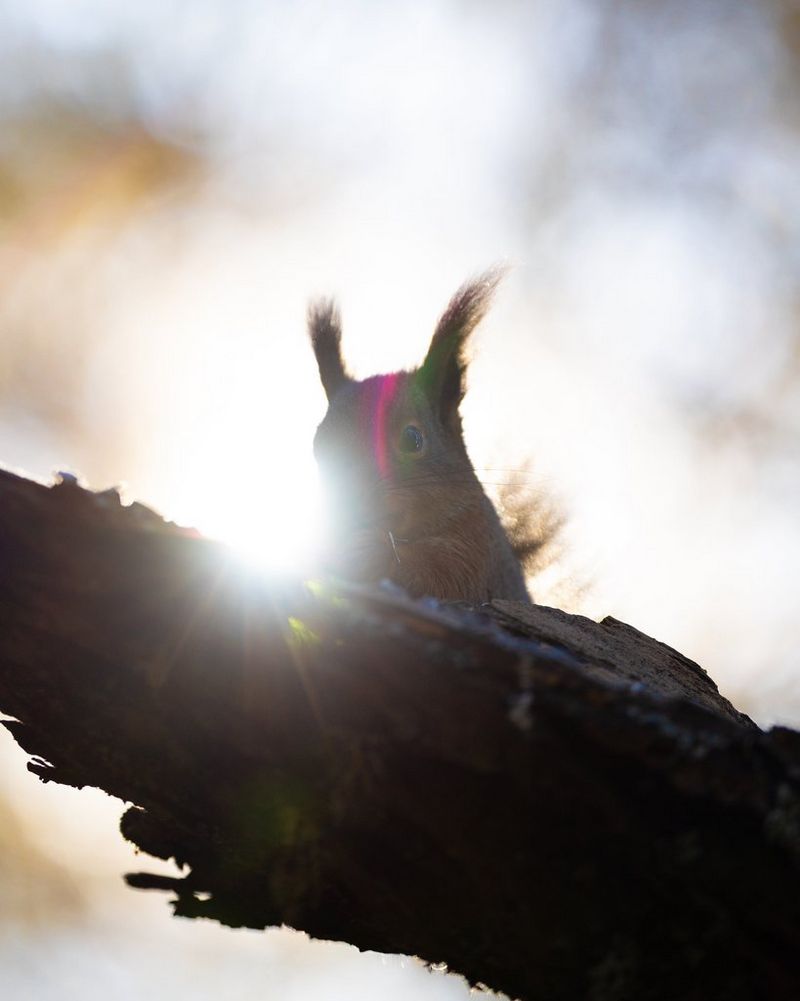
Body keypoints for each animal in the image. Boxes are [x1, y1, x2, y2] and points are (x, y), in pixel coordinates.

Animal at [308, 270, 531, 604]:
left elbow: (437, 574)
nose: (346, 502)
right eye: (319, 446)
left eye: (412, 439)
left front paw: (367, 551)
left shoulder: (477, 555)